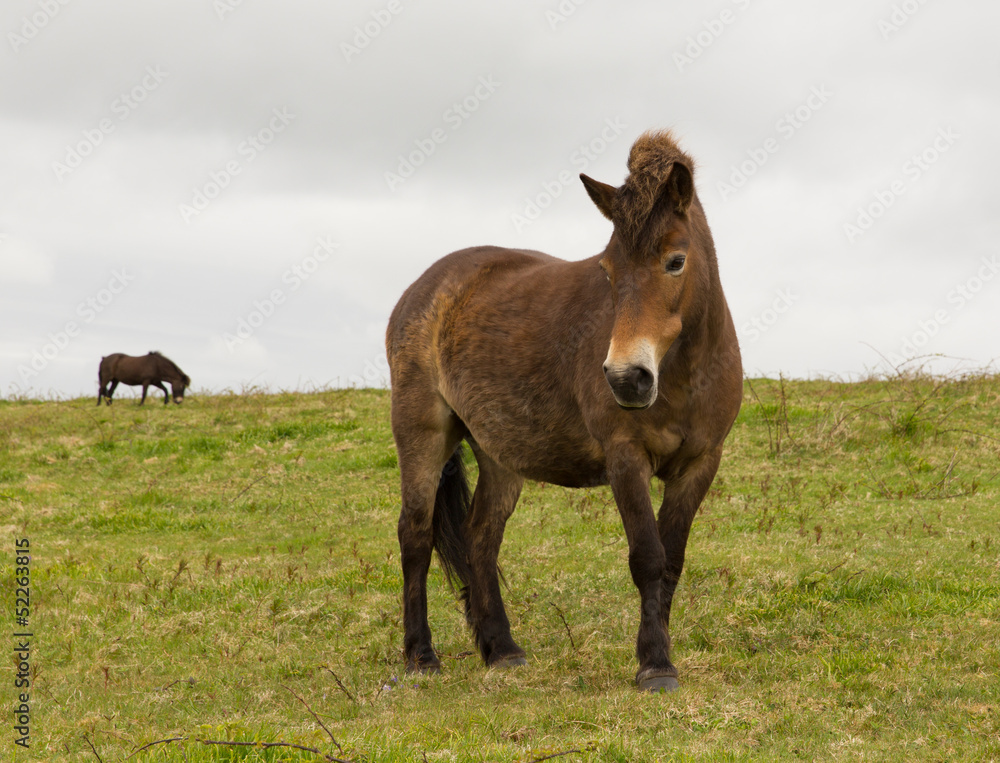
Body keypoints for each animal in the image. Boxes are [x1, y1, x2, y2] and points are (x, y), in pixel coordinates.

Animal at [386, 131, 748, 692]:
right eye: (607, 270)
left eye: (675, 261)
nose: (626, 378)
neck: (685, 372)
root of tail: (424, 288)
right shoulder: (625, 458)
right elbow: (648, 557)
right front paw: (654, 665)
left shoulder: (701, 463)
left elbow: (672, 561)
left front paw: (661, 655)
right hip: (423, 434)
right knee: (416, 536)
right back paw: (421, 658)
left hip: (498, 454)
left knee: (480, 537)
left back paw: (503, 650)